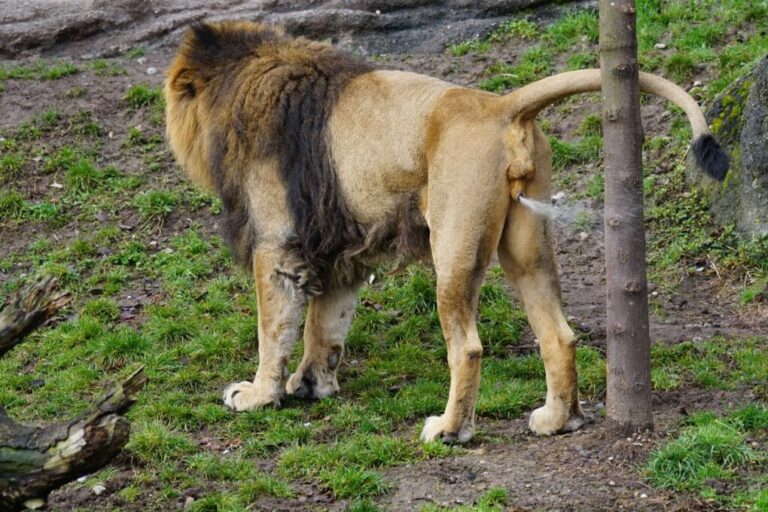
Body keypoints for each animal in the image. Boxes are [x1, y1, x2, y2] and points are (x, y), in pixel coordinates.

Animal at [164, 20, 728, 443]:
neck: (243, 80)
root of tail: (501, 106)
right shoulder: (341, 249)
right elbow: (326, 324)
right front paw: (312, 385)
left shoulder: (277, 244)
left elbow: (275, 328)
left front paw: (258, 395)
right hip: (526, 247)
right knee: (559, 334)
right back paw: (557, 420)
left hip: (453, 245)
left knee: (468, 347)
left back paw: (450, 430)